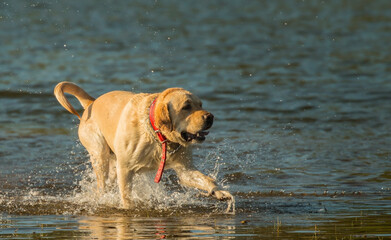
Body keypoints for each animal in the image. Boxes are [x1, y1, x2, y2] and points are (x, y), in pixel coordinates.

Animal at [53, 82, 234, 210]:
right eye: (186, 107)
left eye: (201, 105)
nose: (210, 117)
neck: (158, 136)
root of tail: (92, 101)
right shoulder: (125, 168)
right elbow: (126, 194)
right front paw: (128, 209)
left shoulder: (185, 170)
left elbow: (205, 179)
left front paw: (220, 192)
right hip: (99, 153)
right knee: (101, 183)